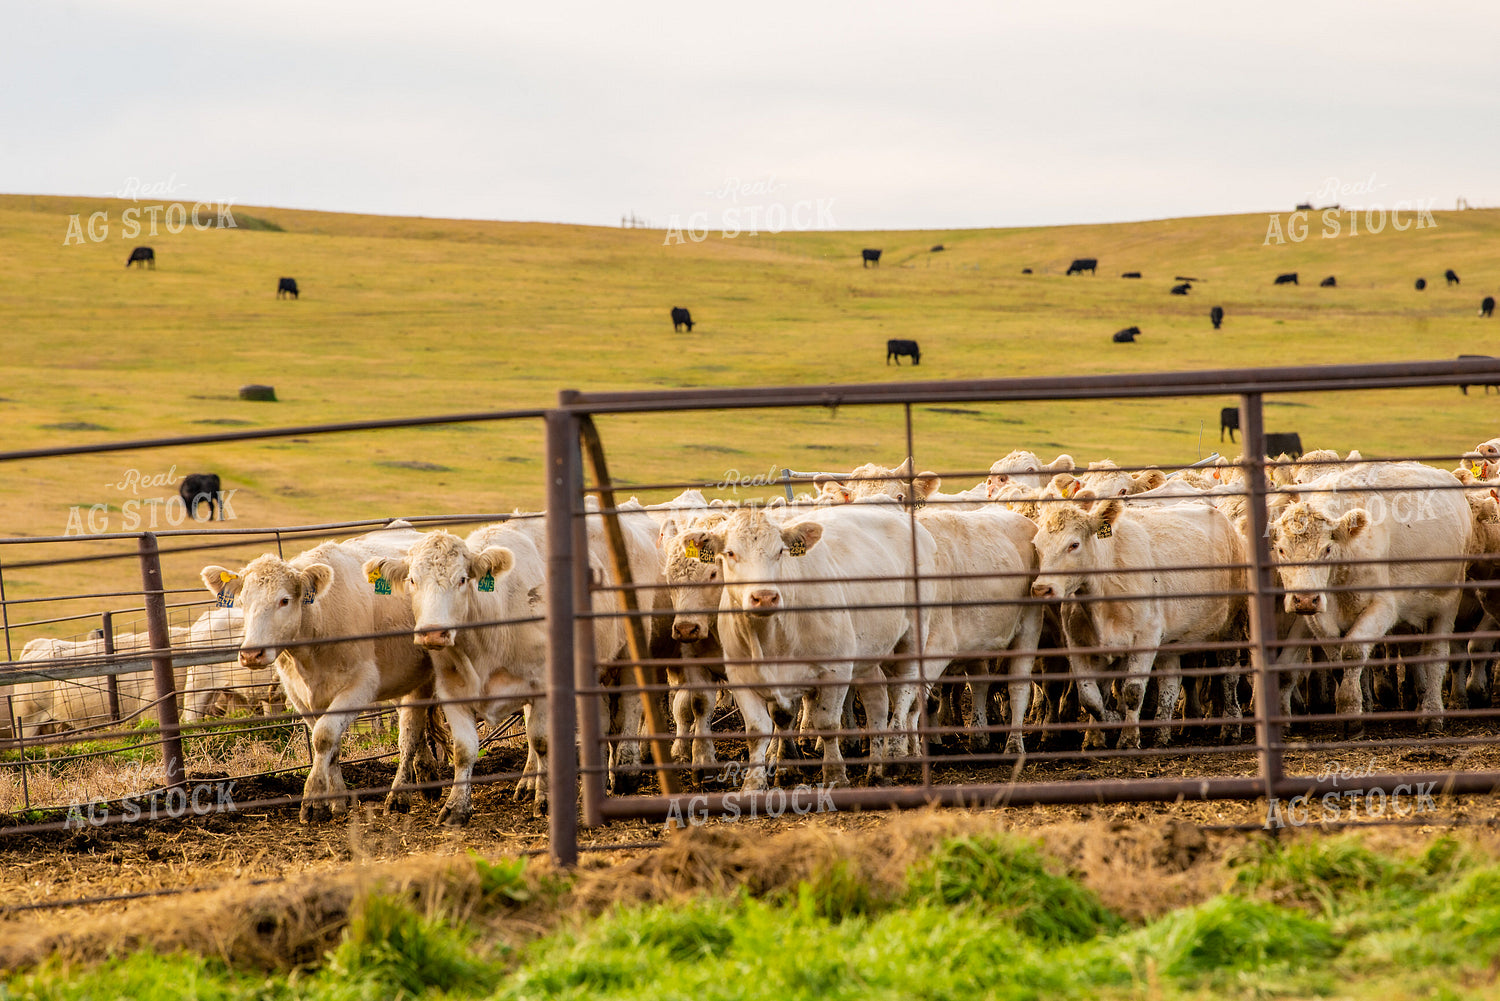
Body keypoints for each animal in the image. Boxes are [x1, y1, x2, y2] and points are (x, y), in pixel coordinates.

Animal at [200, 522, 439, 822]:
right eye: (242, 601)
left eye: (284, 600)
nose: (251, 654)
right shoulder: (298, 694)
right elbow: (329, 746)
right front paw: (337, 801)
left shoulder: (361, 685)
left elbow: (324, 737)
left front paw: (313, 802)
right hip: (403, 676)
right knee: (415, 725)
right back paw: (427, 777)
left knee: (409, 732)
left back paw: (399, 795)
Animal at [679, 504, 935, 791]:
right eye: (731, 553)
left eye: (781, 551)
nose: (764, 597)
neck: (769, 636)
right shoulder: (741, 676)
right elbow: (760, 729)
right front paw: (759, 781)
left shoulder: (836, 670)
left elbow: (828, 724)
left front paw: (835, 775)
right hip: (867, 651)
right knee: (876, 697)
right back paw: (876, 770)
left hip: (914, 632)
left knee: (903, 690)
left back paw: (895, 752)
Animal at [1030, 497, 1244, 749]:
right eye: (1037, 546)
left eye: (1074, 545)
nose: (1042, 589)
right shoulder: (1079, 644)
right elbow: (1091, 697)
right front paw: (1097, 734)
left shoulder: (1145, 638)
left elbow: (1132, 691)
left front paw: (1128, 737)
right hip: (1171, 641)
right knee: (1170, 682)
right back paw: (1161, 732)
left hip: (1231, 623)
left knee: (1229, 674)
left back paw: (1231, 726)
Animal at [1268, 462, 1471, 733]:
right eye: (1281, 549)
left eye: (1327, 549)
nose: (1305, 599)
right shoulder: (1316, 617)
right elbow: (1335, 658)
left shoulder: (1382, 607)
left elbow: (1352, 652)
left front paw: (1350, 711)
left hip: (1447, 604)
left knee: (1435, 656)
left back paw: (1432, 713)